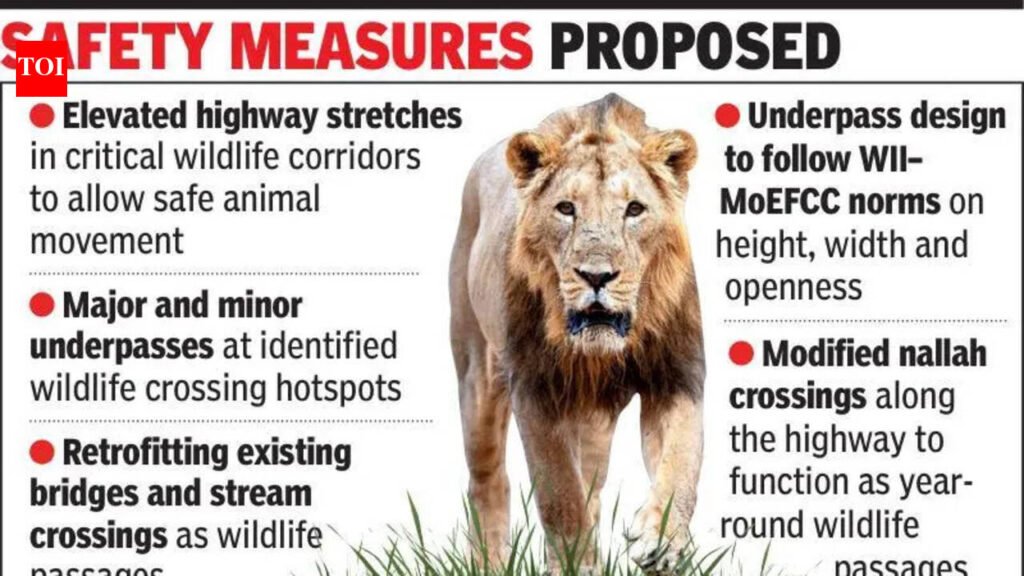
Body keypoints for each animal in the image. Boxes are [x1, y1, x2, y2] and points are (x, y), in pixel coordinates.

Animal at [449, 93, 704, 573]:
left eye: (634, 209)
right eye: (566, 208)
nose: (597, 276)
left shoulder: (675, 377)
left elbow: (682, 459)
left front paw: (661, 540)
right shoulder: (533, 388)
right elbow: (560, 494)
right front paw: (576, 564)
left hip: (593, 422)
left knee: (592, 486)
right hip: (477, 373)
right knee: (488, 480)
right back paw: (491, 561)